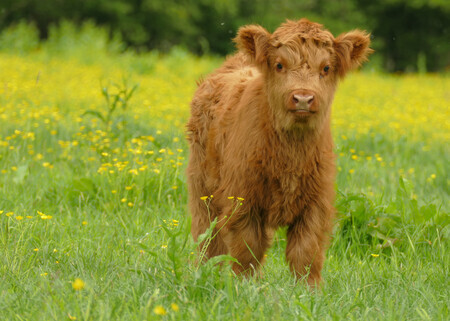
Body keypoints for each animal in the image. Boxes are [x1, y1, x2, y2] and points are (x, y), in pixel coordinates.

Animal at [185, 18, 370, 284]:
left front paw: (308, 289)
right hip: (202, 186)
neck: (290, 156)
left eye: (326, 68)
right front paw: (245, 284)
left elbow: (306, 253)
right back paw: (207, 272)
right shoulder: (243, 200)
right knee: (208, 236)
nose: (303, 98)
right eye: (280, 64)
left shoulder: (316, 204)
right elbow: (247, 249)